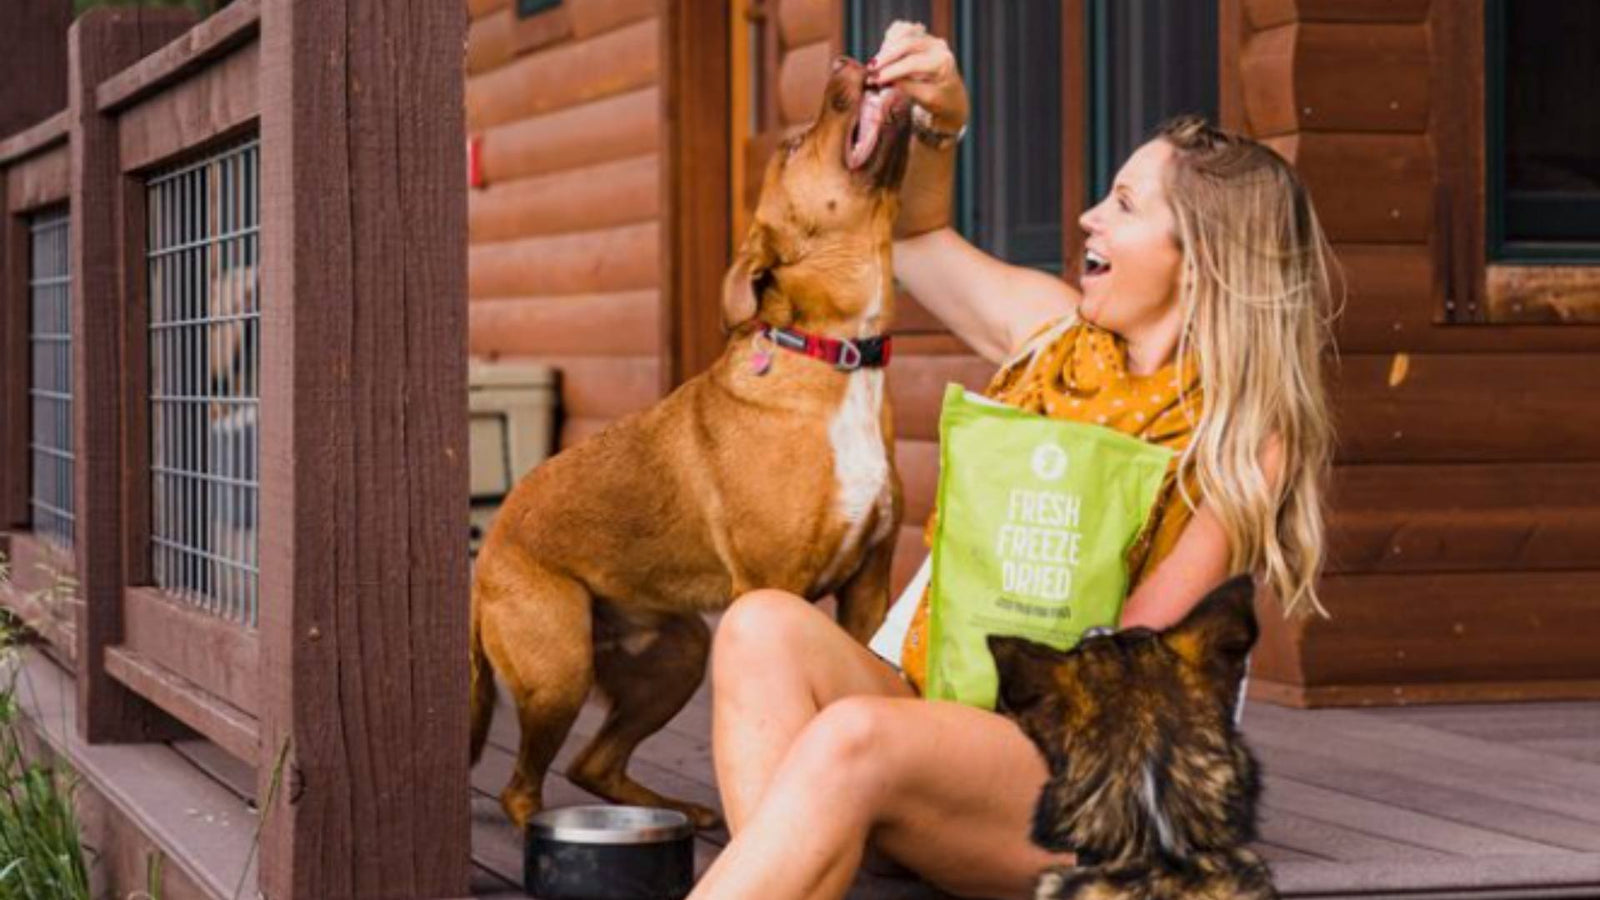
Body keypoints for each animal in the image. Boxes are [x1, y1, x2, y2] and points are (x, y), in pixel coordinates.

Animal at [467, 54, 908, 826]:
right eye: (794, 144)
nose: (846, 60)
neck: (835, 355)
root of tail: (486, 551)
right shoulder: (775, 594)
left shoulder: (867, 590)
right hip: (561, 667)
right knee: (523, 786)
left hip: (679, 652)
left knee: (590, 763)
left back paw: (680, 812)